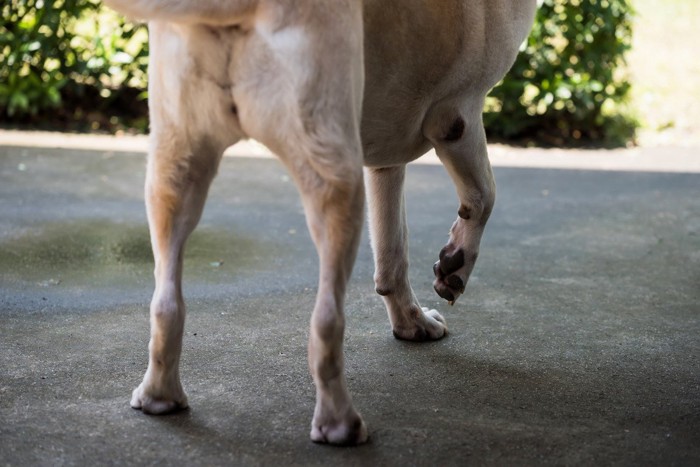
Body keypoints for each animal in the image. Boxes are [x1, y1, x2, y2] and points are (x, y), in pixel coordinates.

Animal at [102, 0, 536, 446]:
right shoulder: (458, 114)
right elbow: (483, 196)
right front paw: (454, 266)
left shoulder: (384, 161)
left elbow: (392, 250)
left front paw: (411, 322)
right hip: (335, 180)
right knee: (326, 323)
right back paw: (339, 422)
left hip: (174, 170)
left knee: (165, 302)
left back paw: (159, 396)